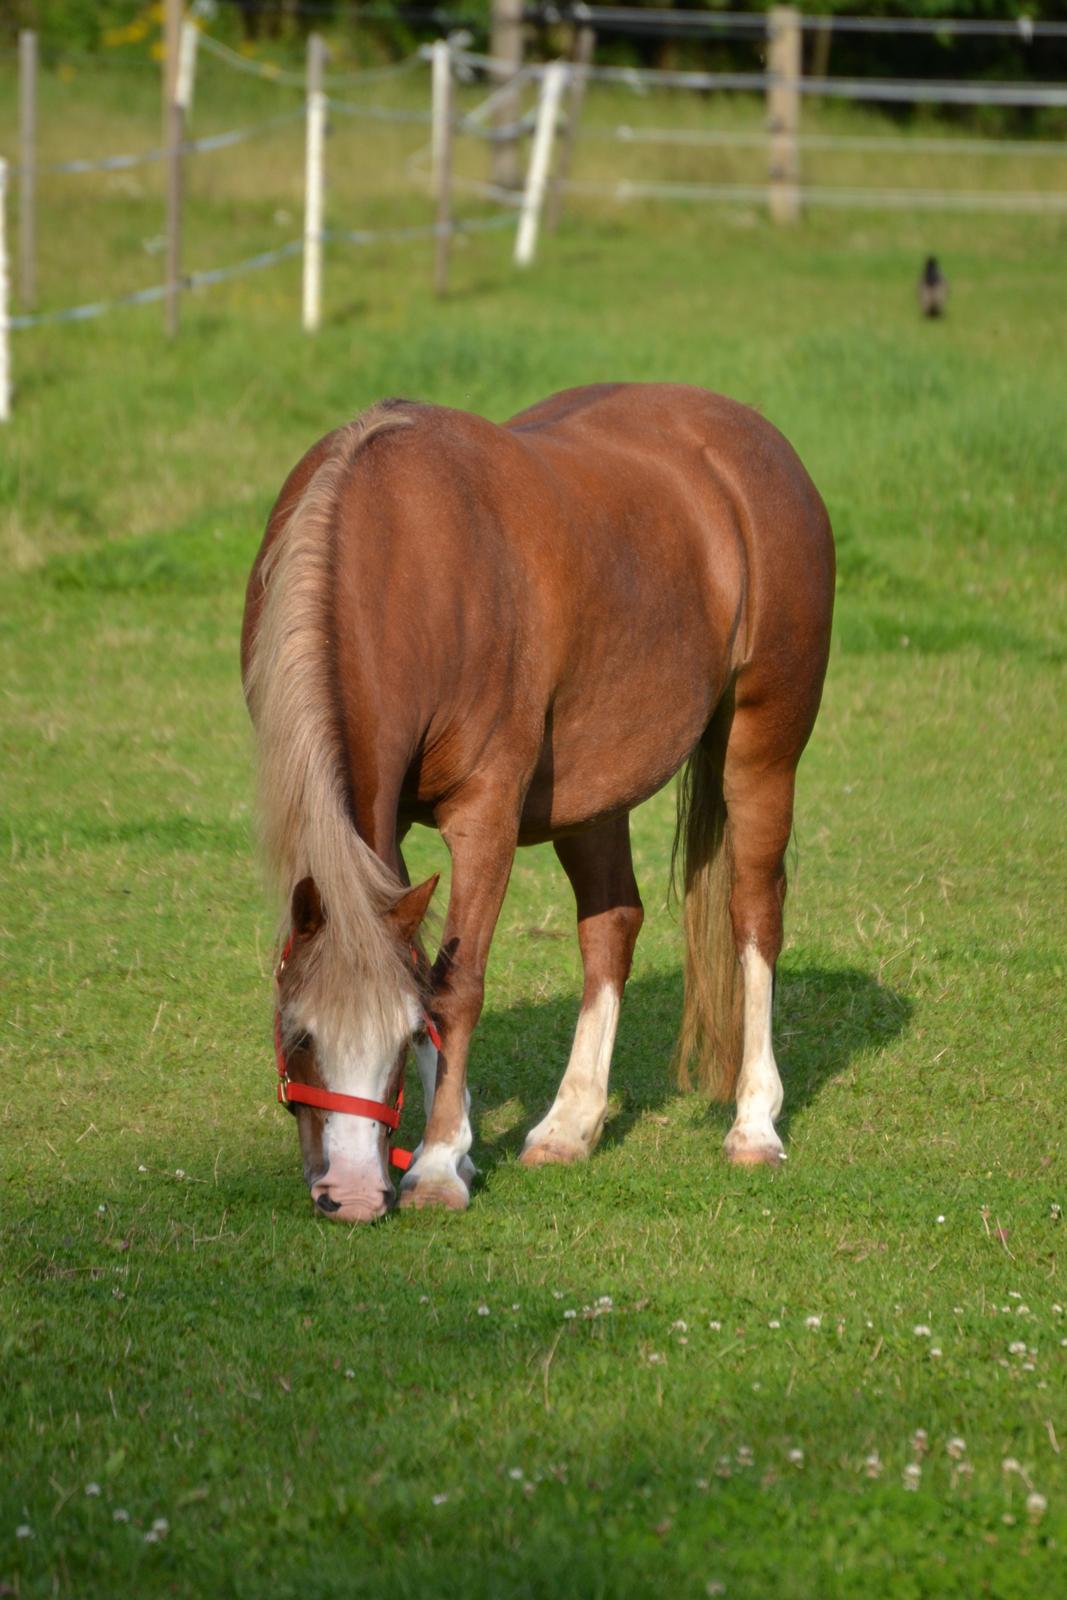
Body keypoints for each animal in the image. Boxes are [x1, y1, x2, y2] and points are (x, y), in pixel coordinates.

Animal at [241, 380, 831, 1216]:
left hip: (761, 749)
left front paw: (435, 1166)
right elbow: (426, 966)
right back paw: (569, 1125)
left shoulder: (483, 813)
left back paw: (753, 1125)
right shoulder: (388, 827)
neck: (397, 551)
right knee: (612, 925)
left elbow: (454, 989)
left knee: (754, 916)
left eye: (396, 1039)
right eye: (297, 1037)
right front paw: (456, 1149)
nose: (351, 1196)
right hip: (593, 791)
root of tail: (755, 442)